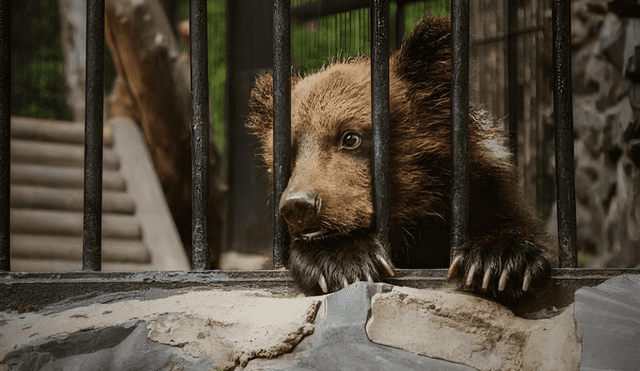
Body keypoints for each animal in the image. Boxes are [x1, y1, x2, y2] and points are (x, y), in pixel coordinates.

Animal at [248, 13, 556, 302]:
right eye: (289, 151)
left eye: (350, 137)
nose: (299, 204)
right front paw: (340, 259)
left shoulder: (487, 192)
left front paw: (498, 261)